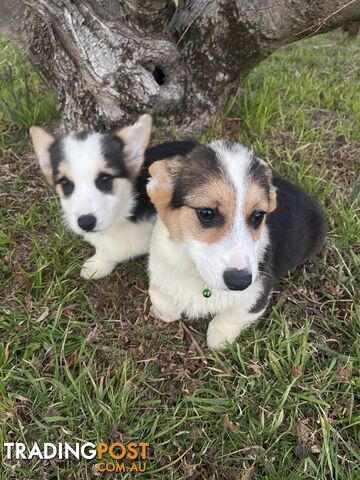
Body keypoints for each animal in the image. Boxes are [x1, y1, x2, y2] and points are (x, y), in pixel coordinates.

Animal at [29, 116, 195, 280]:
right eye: (65, 183)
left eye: (104, 178)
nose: (86, 223)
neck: (122, 216)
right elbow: (104, 250)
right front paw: (99, 265)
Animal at [146, 140, 326, 348]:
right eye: (206, 213)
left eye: (258, 216)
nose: (240, 282)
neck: (199, 277)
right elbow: (162, 300)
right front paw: (161, 312)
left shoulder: (258, 293)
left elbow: (234, 315)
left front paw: (219, 339)